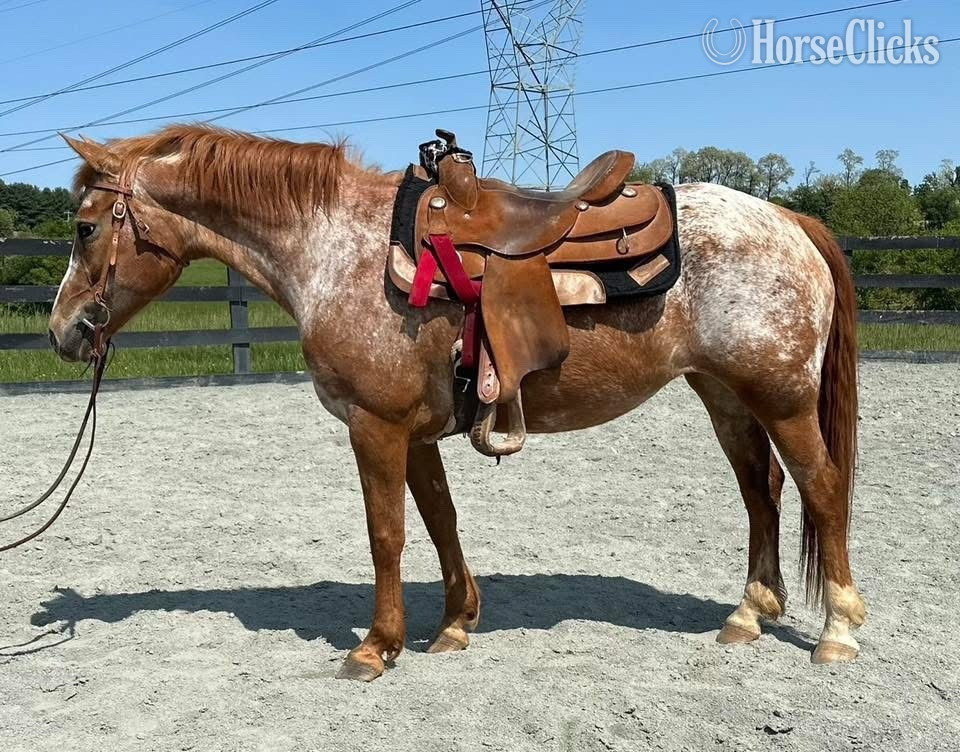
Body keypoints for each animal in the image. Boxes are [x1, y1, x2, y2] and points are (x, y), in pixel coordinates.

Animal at [48, 125, 865, 682]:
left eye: (85, 227)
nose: (63, 331)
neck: (336, 250)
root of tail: (790, 222)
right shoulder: (414, 432)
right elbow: (439, 521)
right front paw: (454, 624)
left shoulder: (375, 426)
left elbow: (387, 535)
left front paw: (376, 647)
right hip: (726, 395)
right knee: (761, 491)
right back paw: (748, 615)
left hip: (782, 397)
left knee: (822, 489)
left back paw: (839, 630)